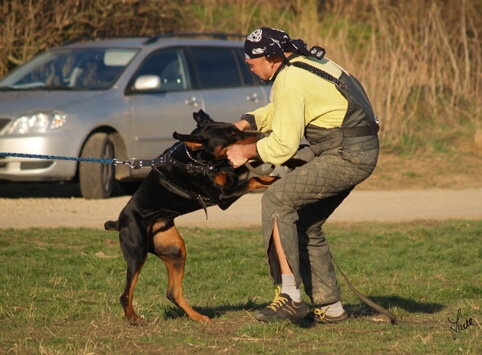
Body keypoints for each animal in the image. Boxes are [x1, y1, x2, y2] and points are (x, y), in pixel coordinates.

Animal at [105, 110, 278, 326]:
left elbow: (251, 170)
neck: (198, 161)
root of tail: (119, 222)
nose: (263, 134)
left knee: (173, 292)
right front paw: (273, 178)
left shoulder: (232, 172)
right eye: (231, 136)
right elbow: (254, 179)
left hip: (174, 249)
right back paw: (134, 318)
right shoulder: (223, 198)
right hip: (137, 251)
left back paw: (198, 316)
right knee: (126, 294)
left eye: (237, 129)